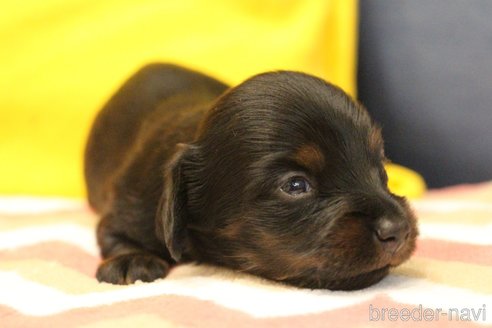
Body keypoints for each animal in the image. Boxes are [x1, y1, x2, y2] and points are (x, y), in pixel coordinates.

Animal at [85, 63, 418, 290]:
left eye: (380, 168)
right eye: (295, 185)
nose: (399, 229)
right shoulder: (130, 205)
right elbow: (114, 234)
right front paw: (132, 260)